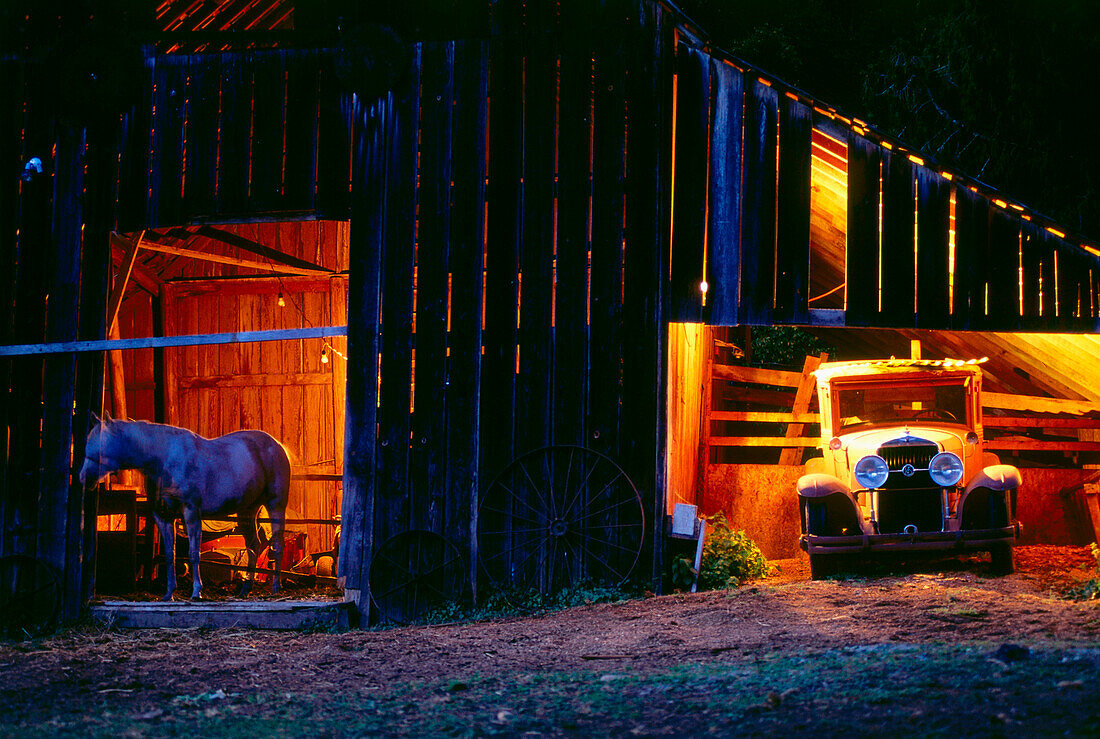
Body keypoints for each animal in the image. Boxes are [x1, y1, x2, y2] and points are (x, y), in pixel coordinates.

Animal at [78, 415, 292, 598]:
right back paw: (245, 589)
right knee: (253, 545)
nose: (83, 477)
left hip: (275, 505)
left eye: (101, 445)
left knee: (277, 544)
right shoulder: (163, 516)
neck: (164, 460)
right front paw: (169, 593)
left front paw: (196, 592)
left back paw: (275, 588)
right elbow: (169, 554)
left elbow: (193, 553)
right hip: (247, 511)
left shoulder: (191, 512)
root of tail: (277, 445)